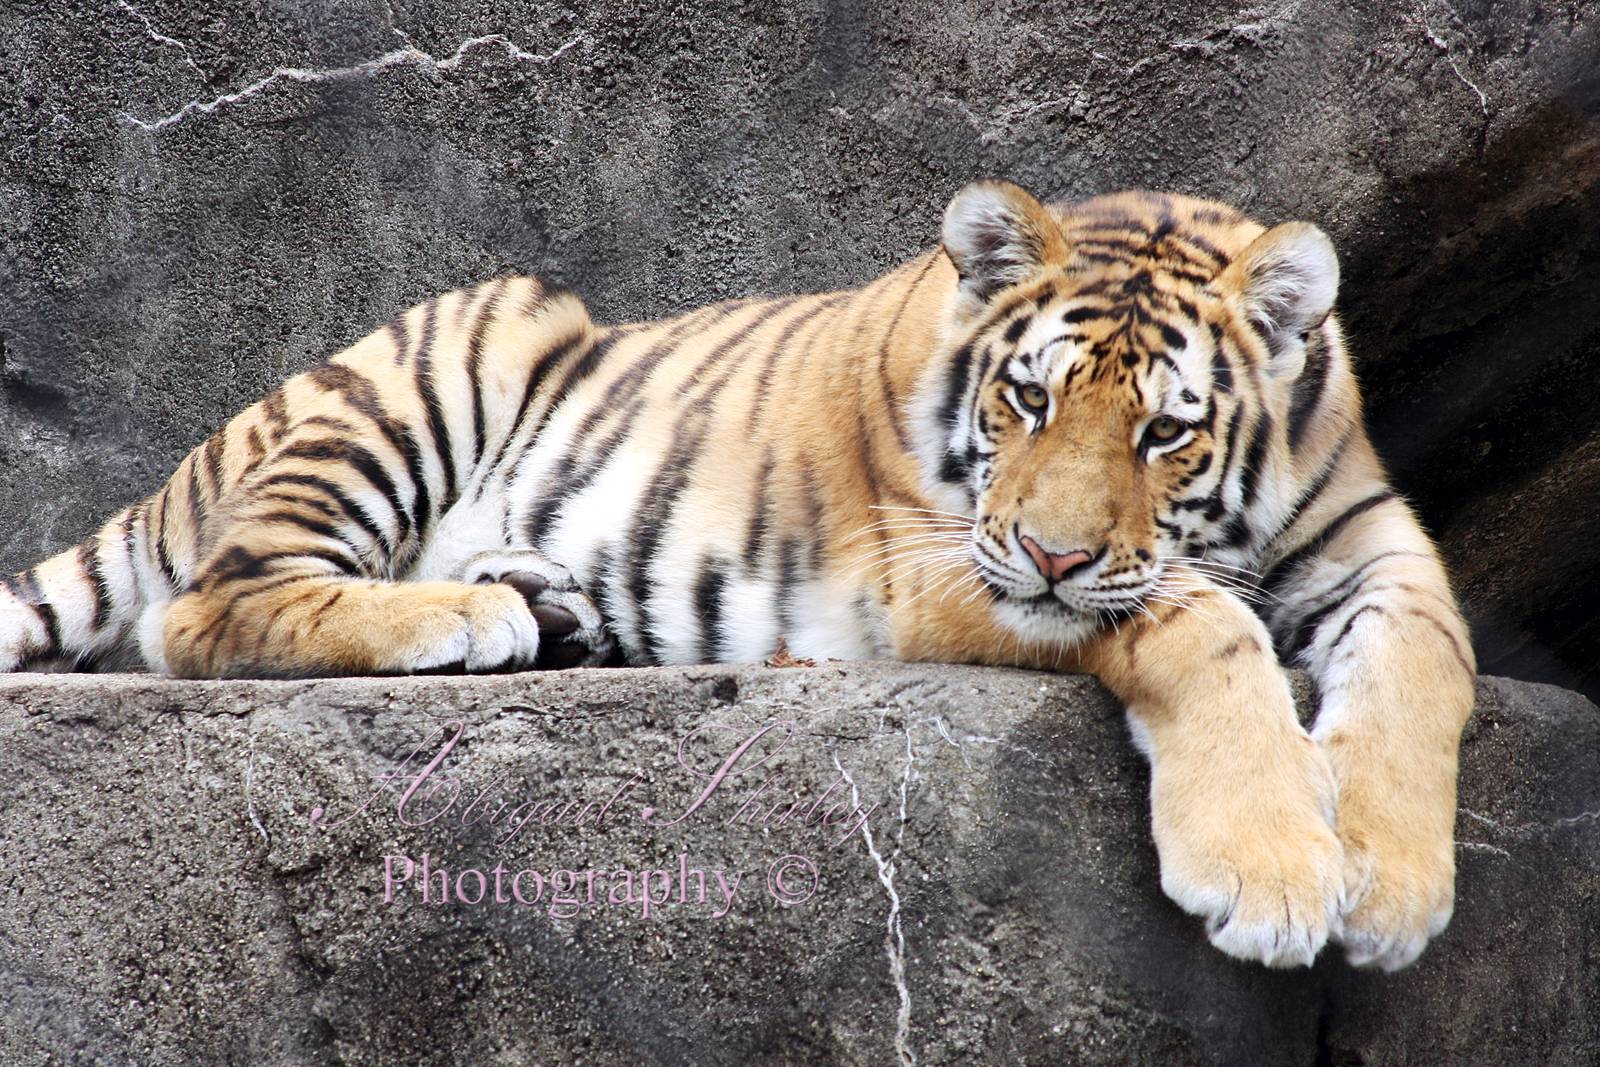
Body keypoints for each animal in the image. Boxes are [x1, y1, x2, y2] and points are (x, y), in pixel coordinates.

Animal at [0, 182, 1476, 972]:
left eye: (1166, 430)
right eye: (1025, 398)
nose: (1058, 547)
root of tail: (210, 444)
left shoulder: (1376, 538)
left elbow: (1426, 668)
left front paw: (1392, 887)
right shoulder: (944, 562)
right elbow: (1199, 615)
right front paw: (1274, 872)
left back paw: (547, 603)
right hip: (458, 351)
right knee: (207, 604)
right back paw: (471, 614)